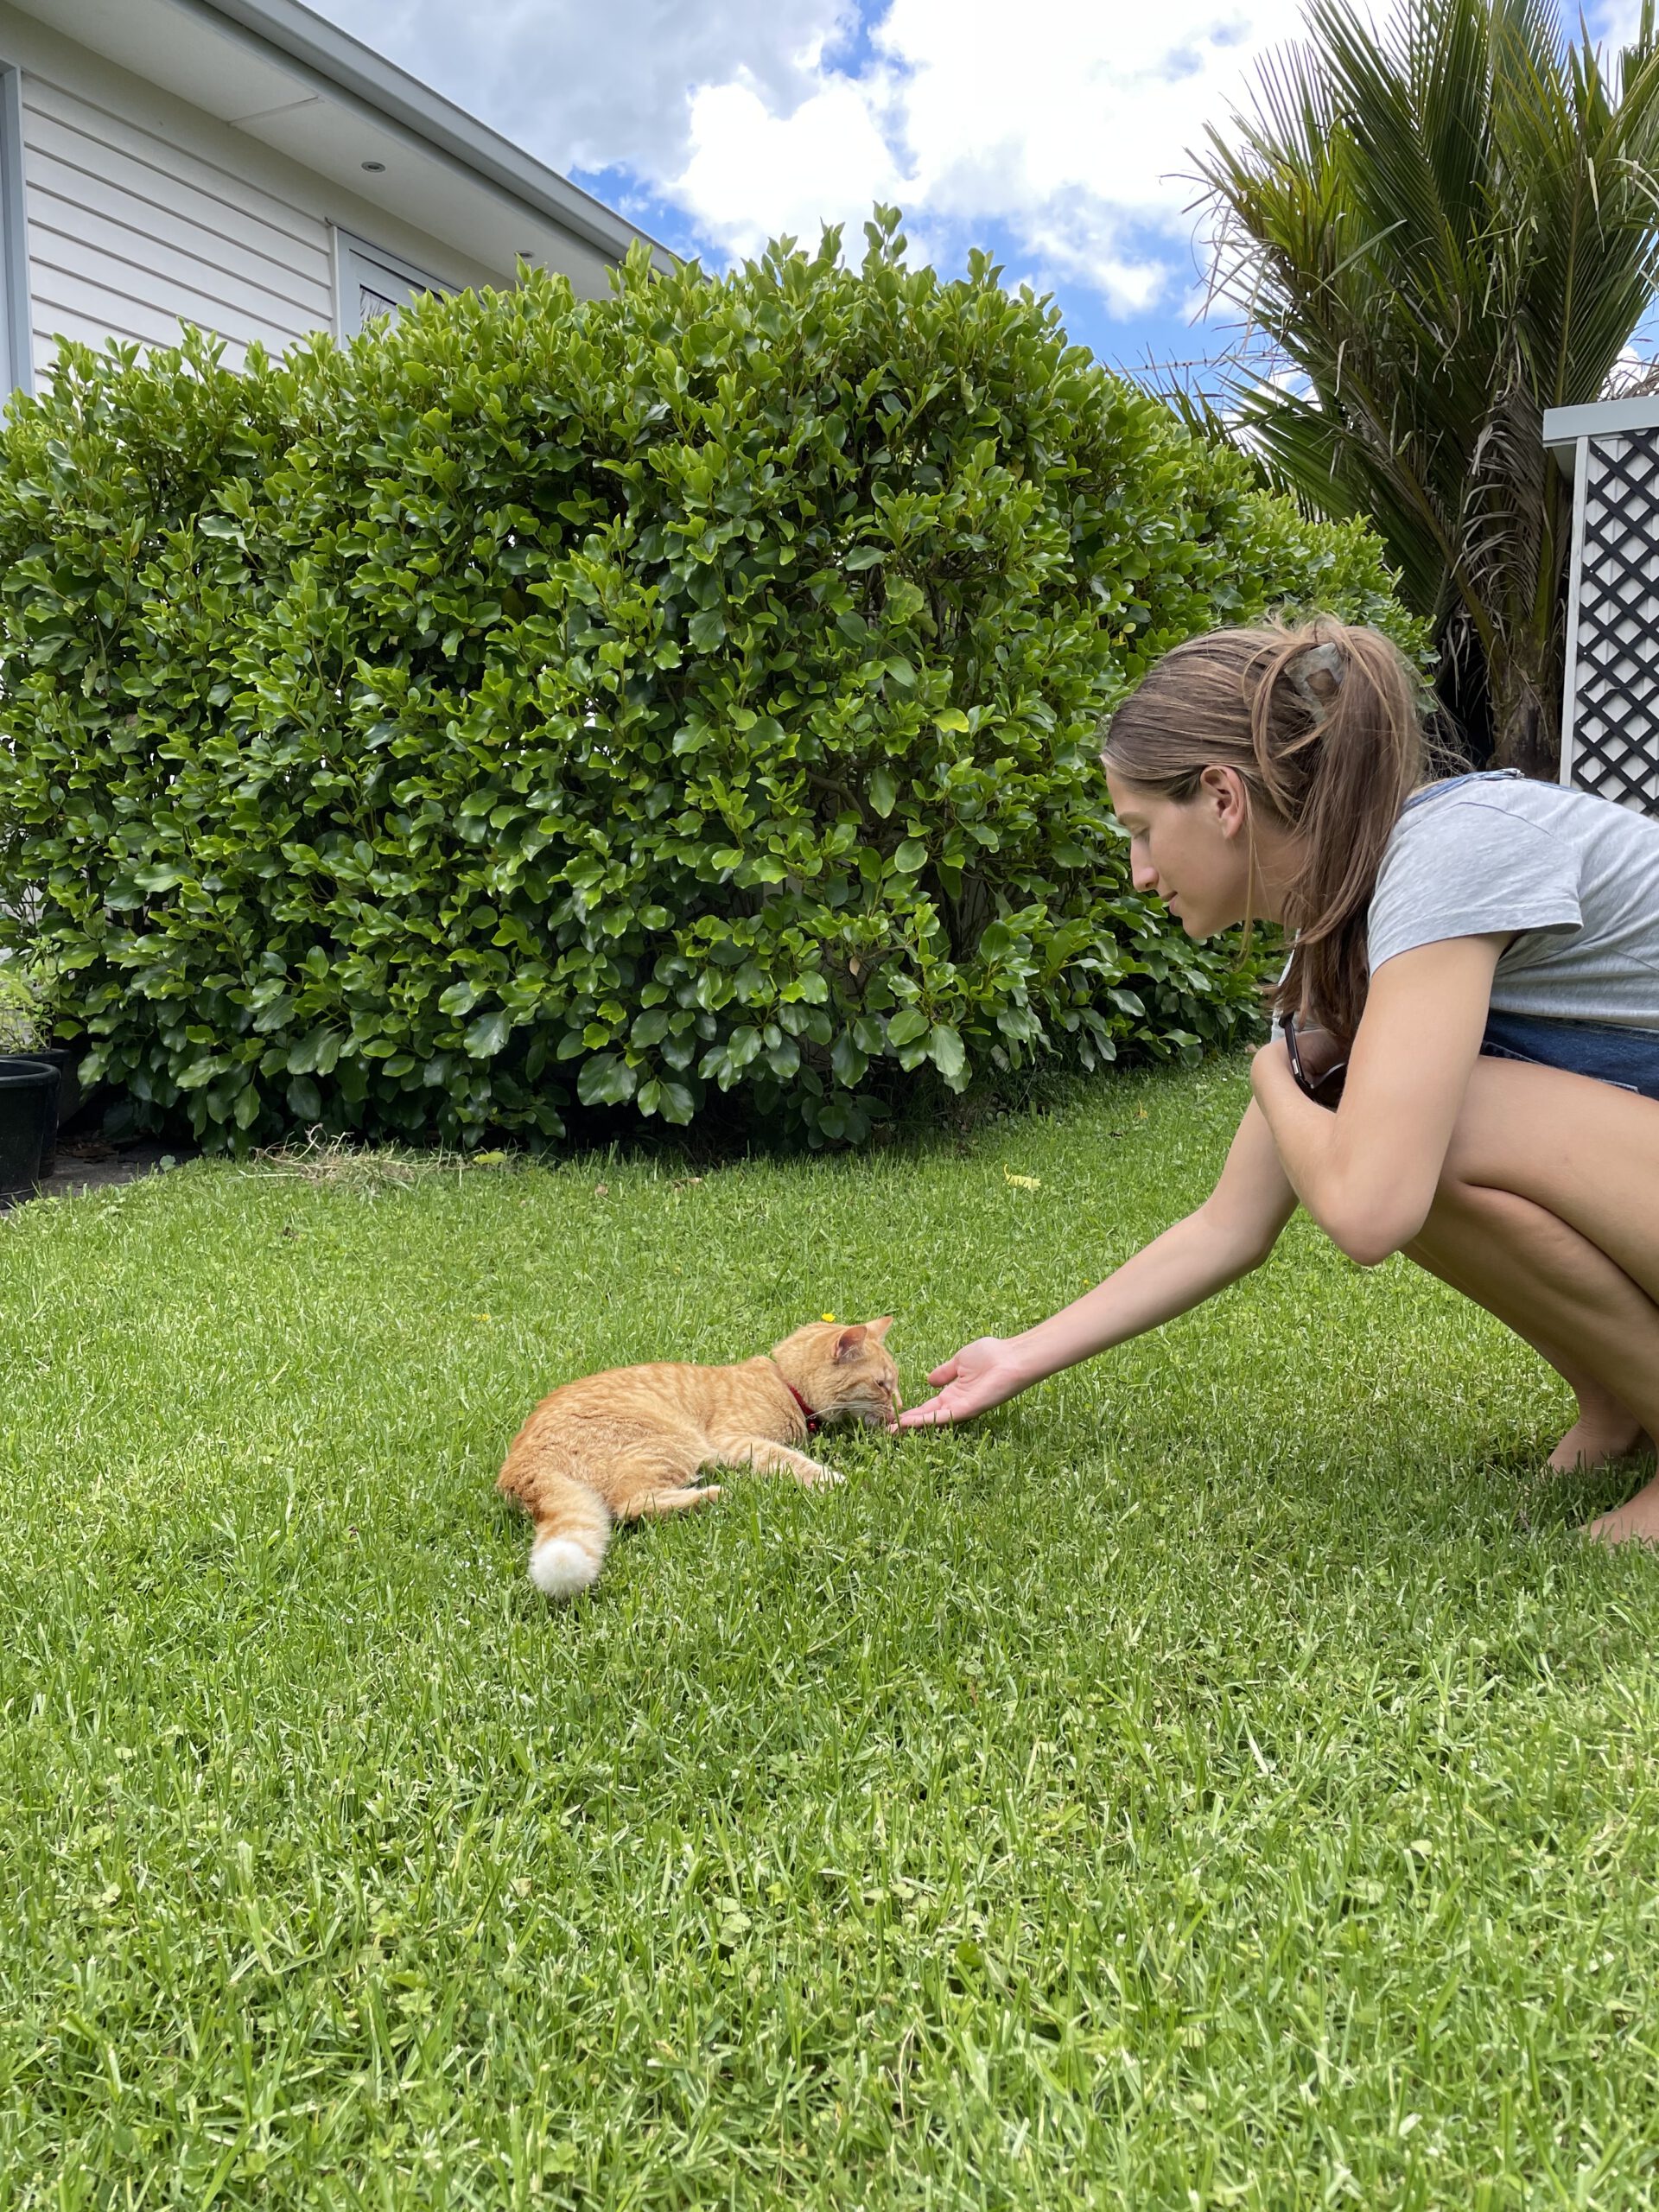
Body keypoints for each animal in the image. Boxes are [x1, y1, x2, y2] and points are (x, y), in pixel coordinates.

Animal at [499, 1309, 902, 1592]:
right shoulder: (734, 1440)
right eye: (882, 1385)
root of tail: (520, 1467)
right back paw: (713, 1493)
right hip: (675, 1442)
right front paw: (833, 1480)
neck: (783, 1382)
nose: (899, 1407)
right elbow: (791, 1460)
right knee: (630, 1505)